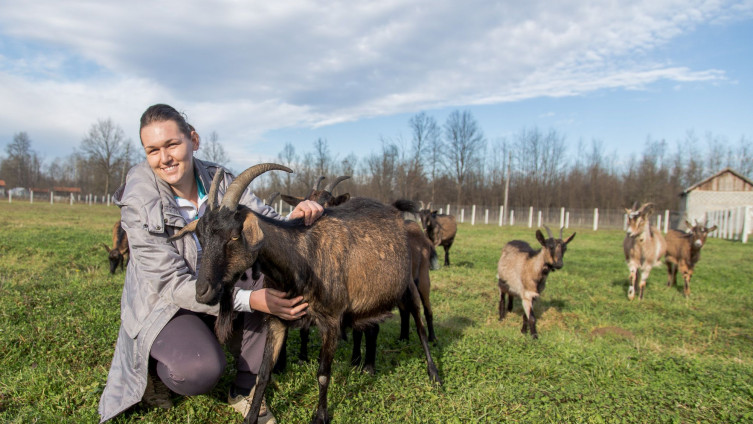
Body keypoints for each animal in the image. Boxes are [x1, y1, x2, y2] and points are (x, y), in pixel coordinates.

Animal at [170, 165, 440, 424]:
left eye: (235, 235)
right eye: (201, 237)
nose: (203, 292)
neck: (301, 259)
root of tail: (396, 212)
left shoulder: (331, 320)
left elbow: (322, 374)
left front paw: (320, 416)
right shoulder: (277, 319)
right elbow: (264, 373)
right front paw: (251, 416)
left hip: (410, 286)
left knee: (419, 325)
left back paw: (434, 374)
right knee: (368, 326)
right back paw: (363, 366)